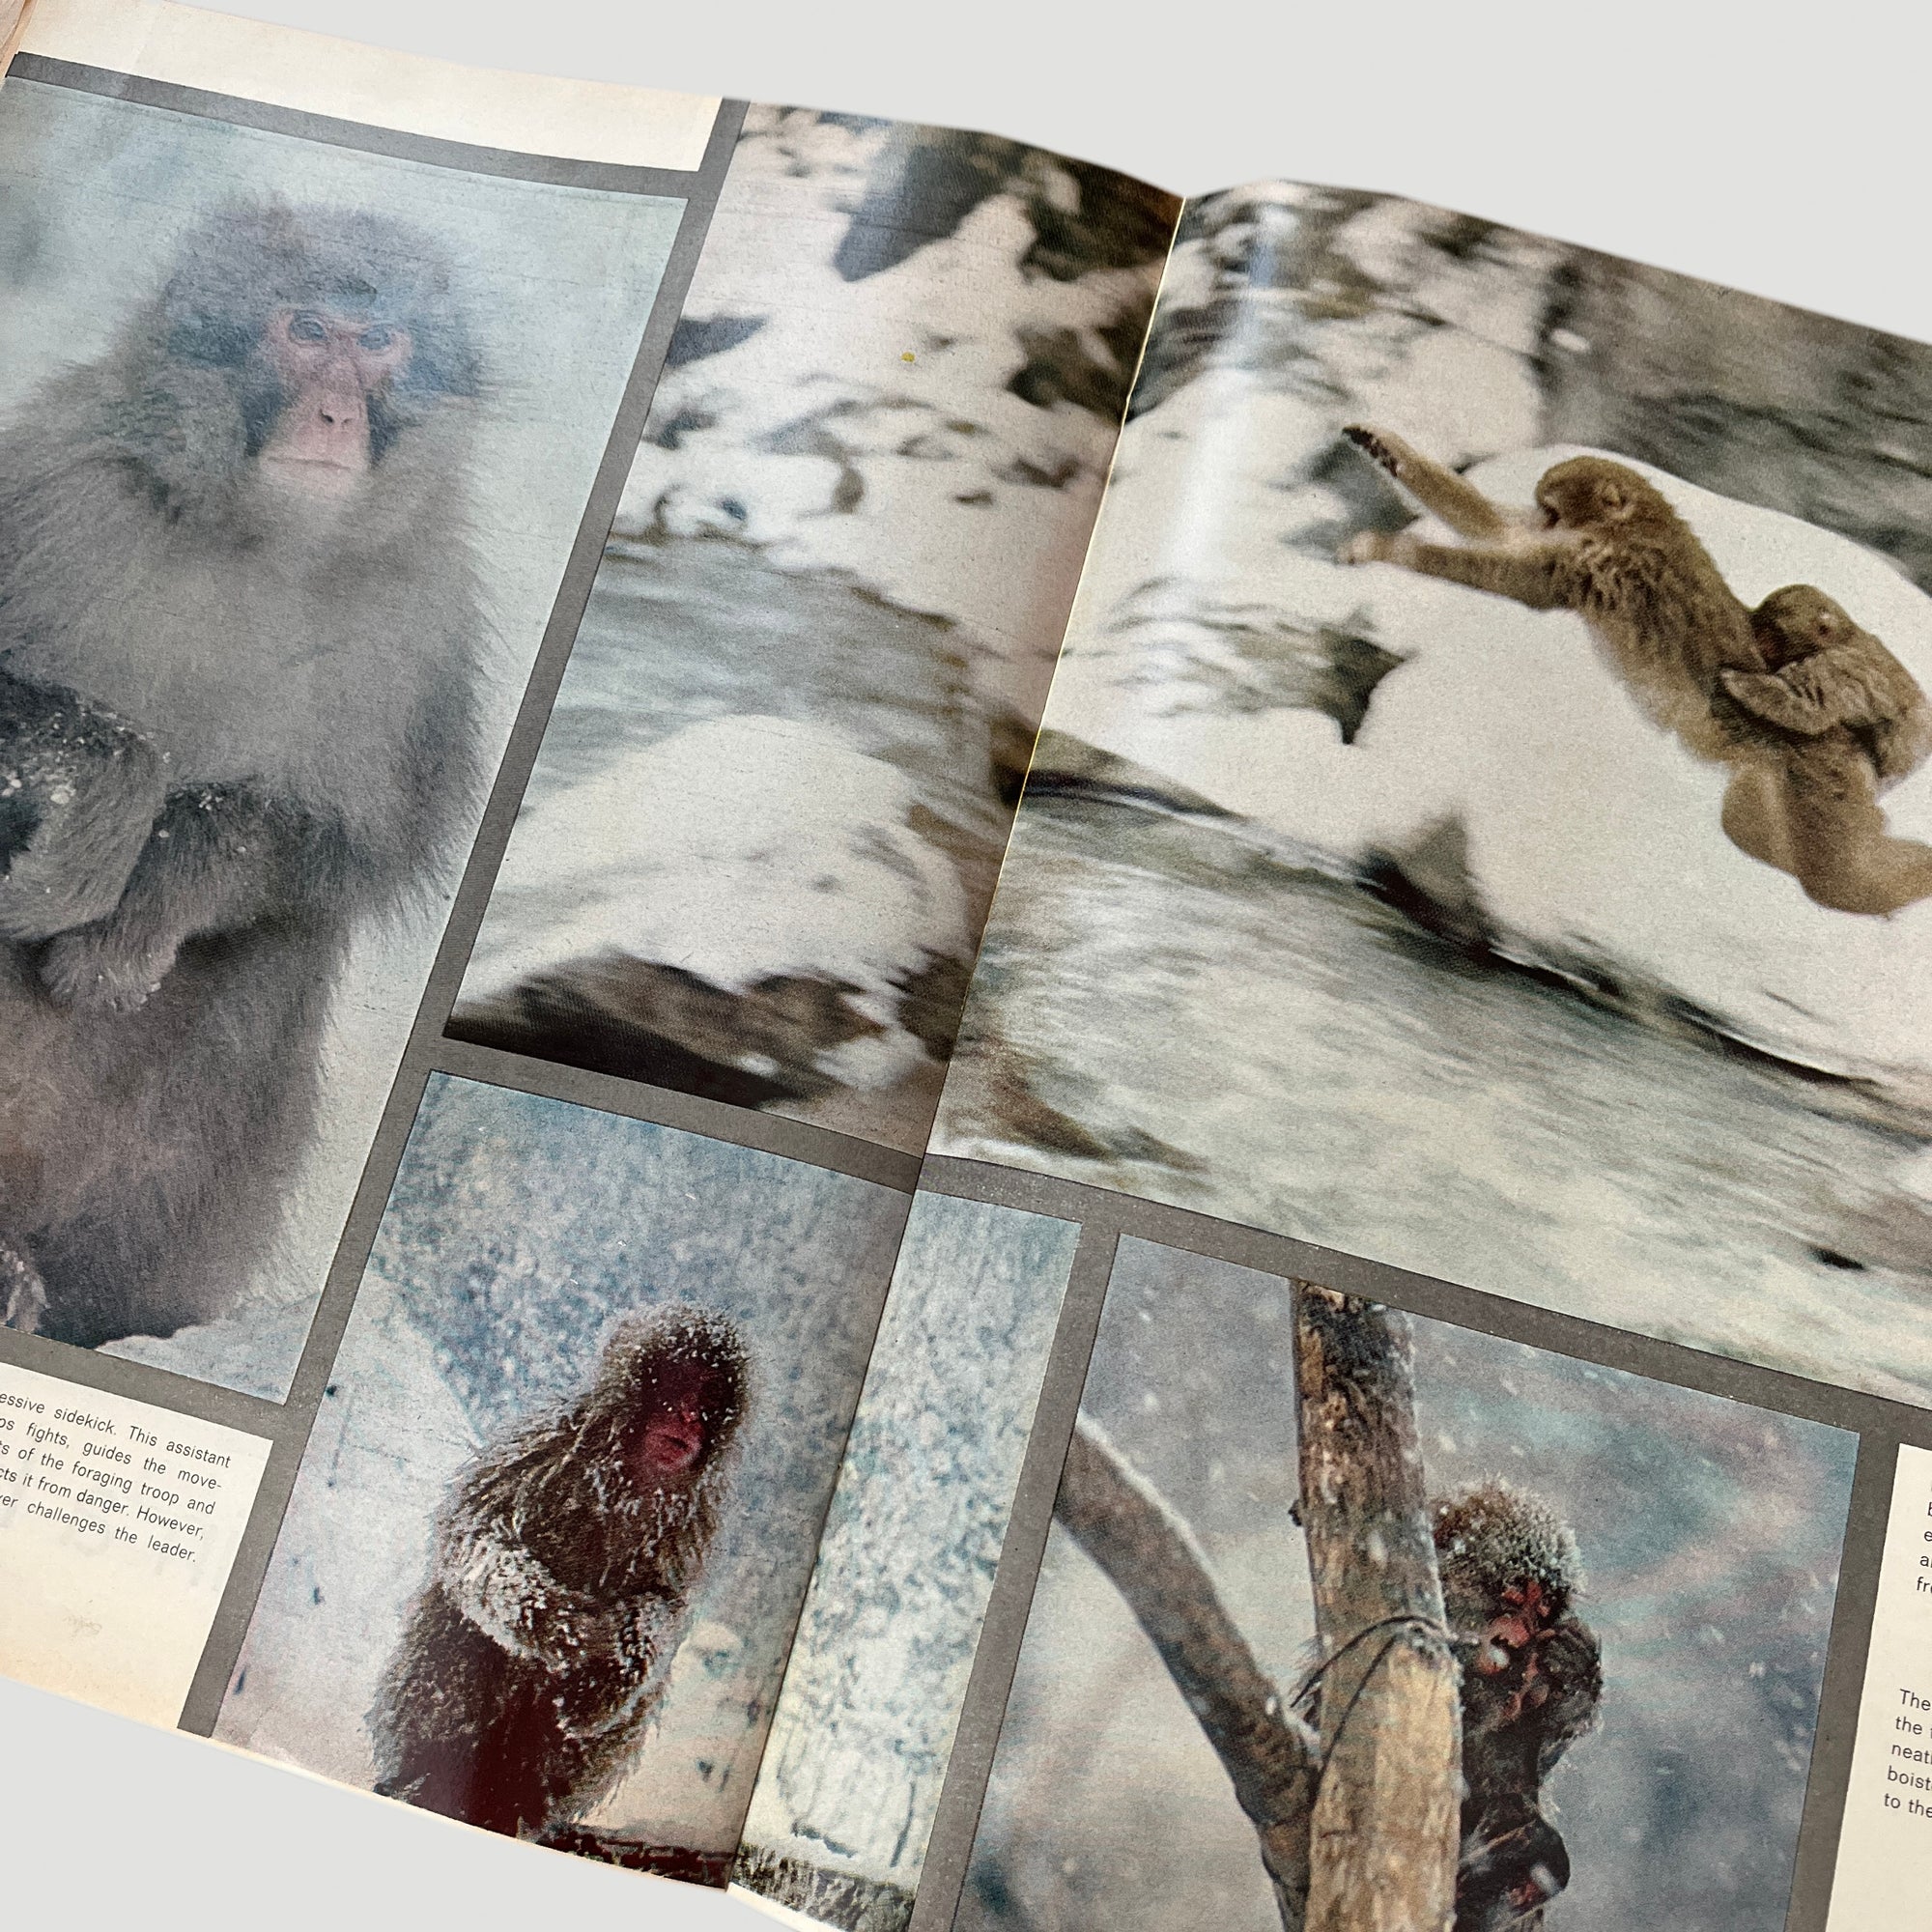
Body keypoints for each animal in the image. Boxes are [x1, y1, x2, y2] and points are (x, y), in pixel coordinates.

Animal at [0, 199, 485, 1346]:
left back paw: (83, 1297)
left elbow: (349, 856)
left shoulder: (426, 617)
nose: (336, 414)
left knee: (274, 952)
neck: (257, 537)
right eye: (305, 328)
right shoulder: (55, 483)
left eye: (380, 339)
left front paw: (160, 881)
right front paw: (104, 796)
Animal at [371, 1304, 751, 1840]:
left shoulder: (697, 1514)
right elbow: (472, 1535)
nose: (690, 1420)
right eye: (680, 1388)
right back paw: (426, 1774)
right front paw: (556, 1625)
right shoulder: (549, 1443)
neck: (634, 1474)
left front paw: (615, 1672)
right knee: (463, 1630)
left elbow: (666, 1605)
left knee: (630, 1698)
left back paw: (526, 1801)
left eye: (710, 1399)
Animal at [1338, 428, 1932, 916]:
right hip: (1775, 785)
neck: (1631, 527)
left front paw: (1389, 549)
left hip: (1818, 787)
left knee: (1832, 880)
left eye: (1553, 499)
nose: (1541, 507)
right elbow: (1500, 529)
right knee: (1757, 834)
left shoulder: (1607, 567)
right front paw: (1382, 445)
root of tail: (1850, 745)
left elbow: (1520, 575)